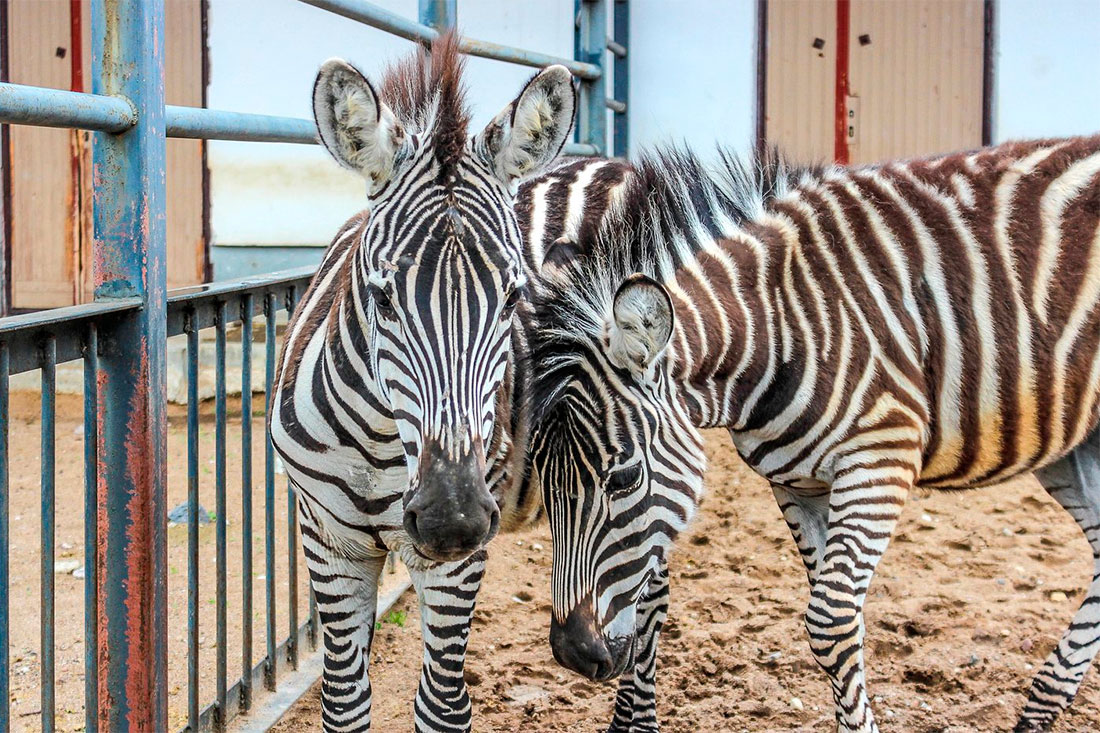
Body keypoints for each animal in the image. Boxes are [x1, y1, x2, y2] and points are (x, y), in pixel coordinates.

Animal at [268, 31, 629, 726]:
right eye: (383, 298)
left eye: (513, 297)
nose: (450, 517)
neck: (381, 444)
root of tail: (609, 163)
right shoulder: (328, 542)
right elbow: (343, 703)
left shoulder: (458, 563)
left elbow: (442, 706)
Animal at [523, 138, 1100, 730]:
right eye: (539, 472)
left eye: (624, 478)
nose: (571, 654)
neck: (781, 325)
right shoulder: (797, 484)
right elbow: (841, 618)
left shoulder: (880, 458)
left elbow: (829, 620)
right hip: (1077, 443)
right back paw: (1042, 706)